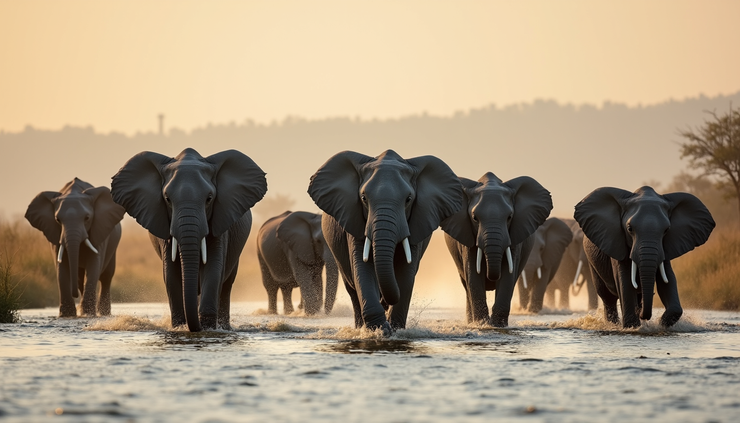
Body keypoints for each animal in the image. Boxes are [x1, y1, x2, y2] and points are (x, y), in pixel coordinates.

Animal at [25, 178, 125, 317]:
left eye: (87, 218)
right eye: (57, 219)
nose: (75, 295)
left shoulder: (99, 229)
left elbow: (94, 265)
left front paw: (88, 314)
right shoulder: (55, 234)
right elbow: (61, 267)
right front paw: (67, 315)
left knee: (106, 276)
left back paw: (102, 313)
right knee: (80, 277)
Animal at [111, 148, 267, 331]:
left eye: (209, 198)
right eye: (167, 199)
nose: (197, 327)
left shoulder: (221, 222)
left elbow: (214, 269)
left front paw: (207, 328)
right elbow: (170, 273)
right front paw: (180, 326)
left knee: (226, 285)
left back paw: (224, 327)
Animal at [308, 150, 462, 333]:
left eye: (409, 199)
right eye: (363, 198)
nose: (385, 301)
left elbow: (405, 270)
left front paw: (394, 329)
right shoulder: (354, 219)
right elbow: (362, 267)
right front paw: (379, 330)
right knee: (352, 289)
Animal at [441, 172, 552, 327]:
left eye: (509, 217)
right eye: (475, 218)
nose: (491, 277)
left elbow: (508, 275)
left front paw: (497, 325)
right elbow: (473, 275)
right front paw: (482, 325)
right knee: (466, 285)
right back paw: (471, 322)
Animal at [574, 186, 715, 328]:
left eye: (666, 230)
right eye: (629, 229)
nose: (644, 315)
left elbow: (667, 278)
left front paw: (660, 324)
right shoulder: (616, 242)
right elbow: (624, 279)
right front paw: (633, 326)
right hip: (592, 261)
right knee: (607, 297)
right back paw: (613, 324)